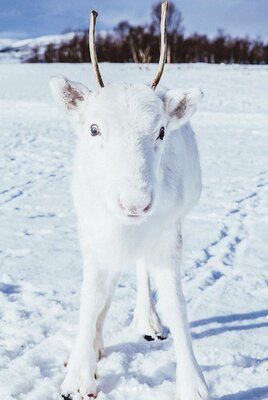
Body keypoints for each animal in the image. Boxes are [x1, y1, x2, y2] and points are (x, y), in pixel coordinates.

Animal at [49, 3, 209, 400]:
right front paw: (79, 374)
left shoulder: (167, 234)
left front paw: (194, 383)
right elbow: (92, 296)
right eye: (94, 128)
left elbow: (176, 303)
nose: (135, 204)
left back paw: (147, 321)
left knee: (139, 269)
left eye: (161, 131)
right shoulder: (93, 231)